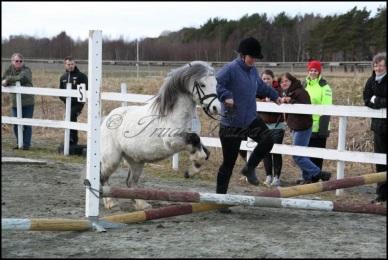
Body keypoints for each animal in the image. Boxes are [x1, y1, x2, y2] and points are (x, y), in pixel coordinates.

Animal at [101, 62, 221, 210]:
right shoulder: (173, 141)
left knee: (130, 182)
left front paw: (191, 170)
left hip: (136, 161)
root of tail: (107, 118)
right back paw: (110, 202)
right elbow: (195, 139)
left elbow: (204, 150)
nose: (216, 108)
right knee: (102, 177)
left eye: (216, 83)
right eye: (203, 84)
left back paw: (142, 205)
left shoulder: (188, 141)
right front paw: (193, 166)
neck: (174, 113)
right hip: (112, 159)